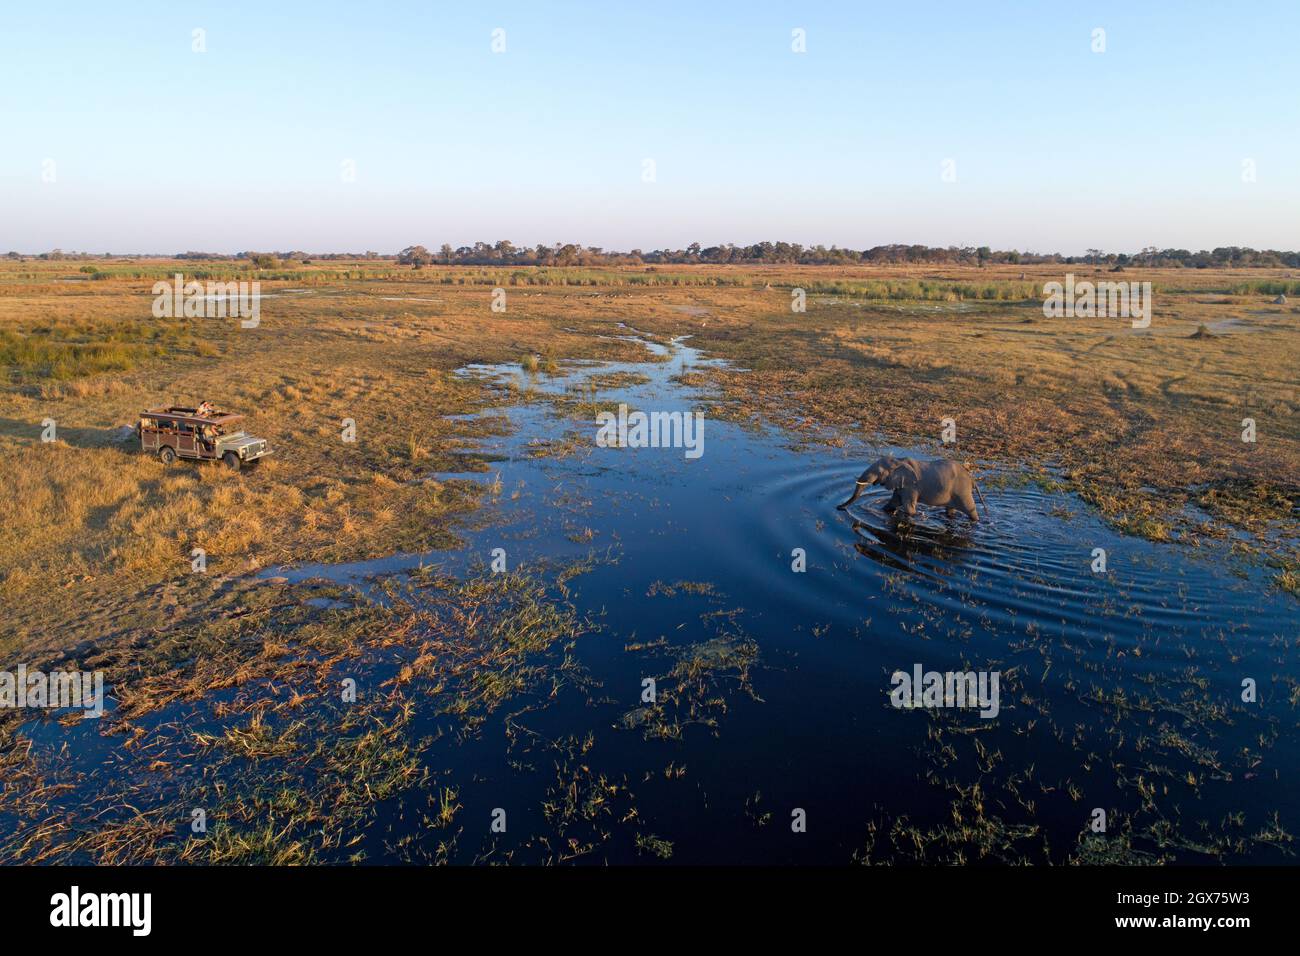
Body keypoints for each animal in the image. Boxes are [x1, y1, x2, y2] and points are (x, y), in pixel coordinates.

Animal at [835, 456, 986, 522]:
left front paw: (911, 515)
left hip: (962, 491)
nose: (838, 507)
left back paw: (976, 522)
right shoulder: (901, 484)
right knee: (951, 510)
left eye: (879, 472)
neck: (897, 461)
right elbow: (893, 502)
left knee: (970, 510)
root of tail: (971, 478)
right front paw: (884, 511)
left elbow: (908, 507)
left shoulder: (911, 487)